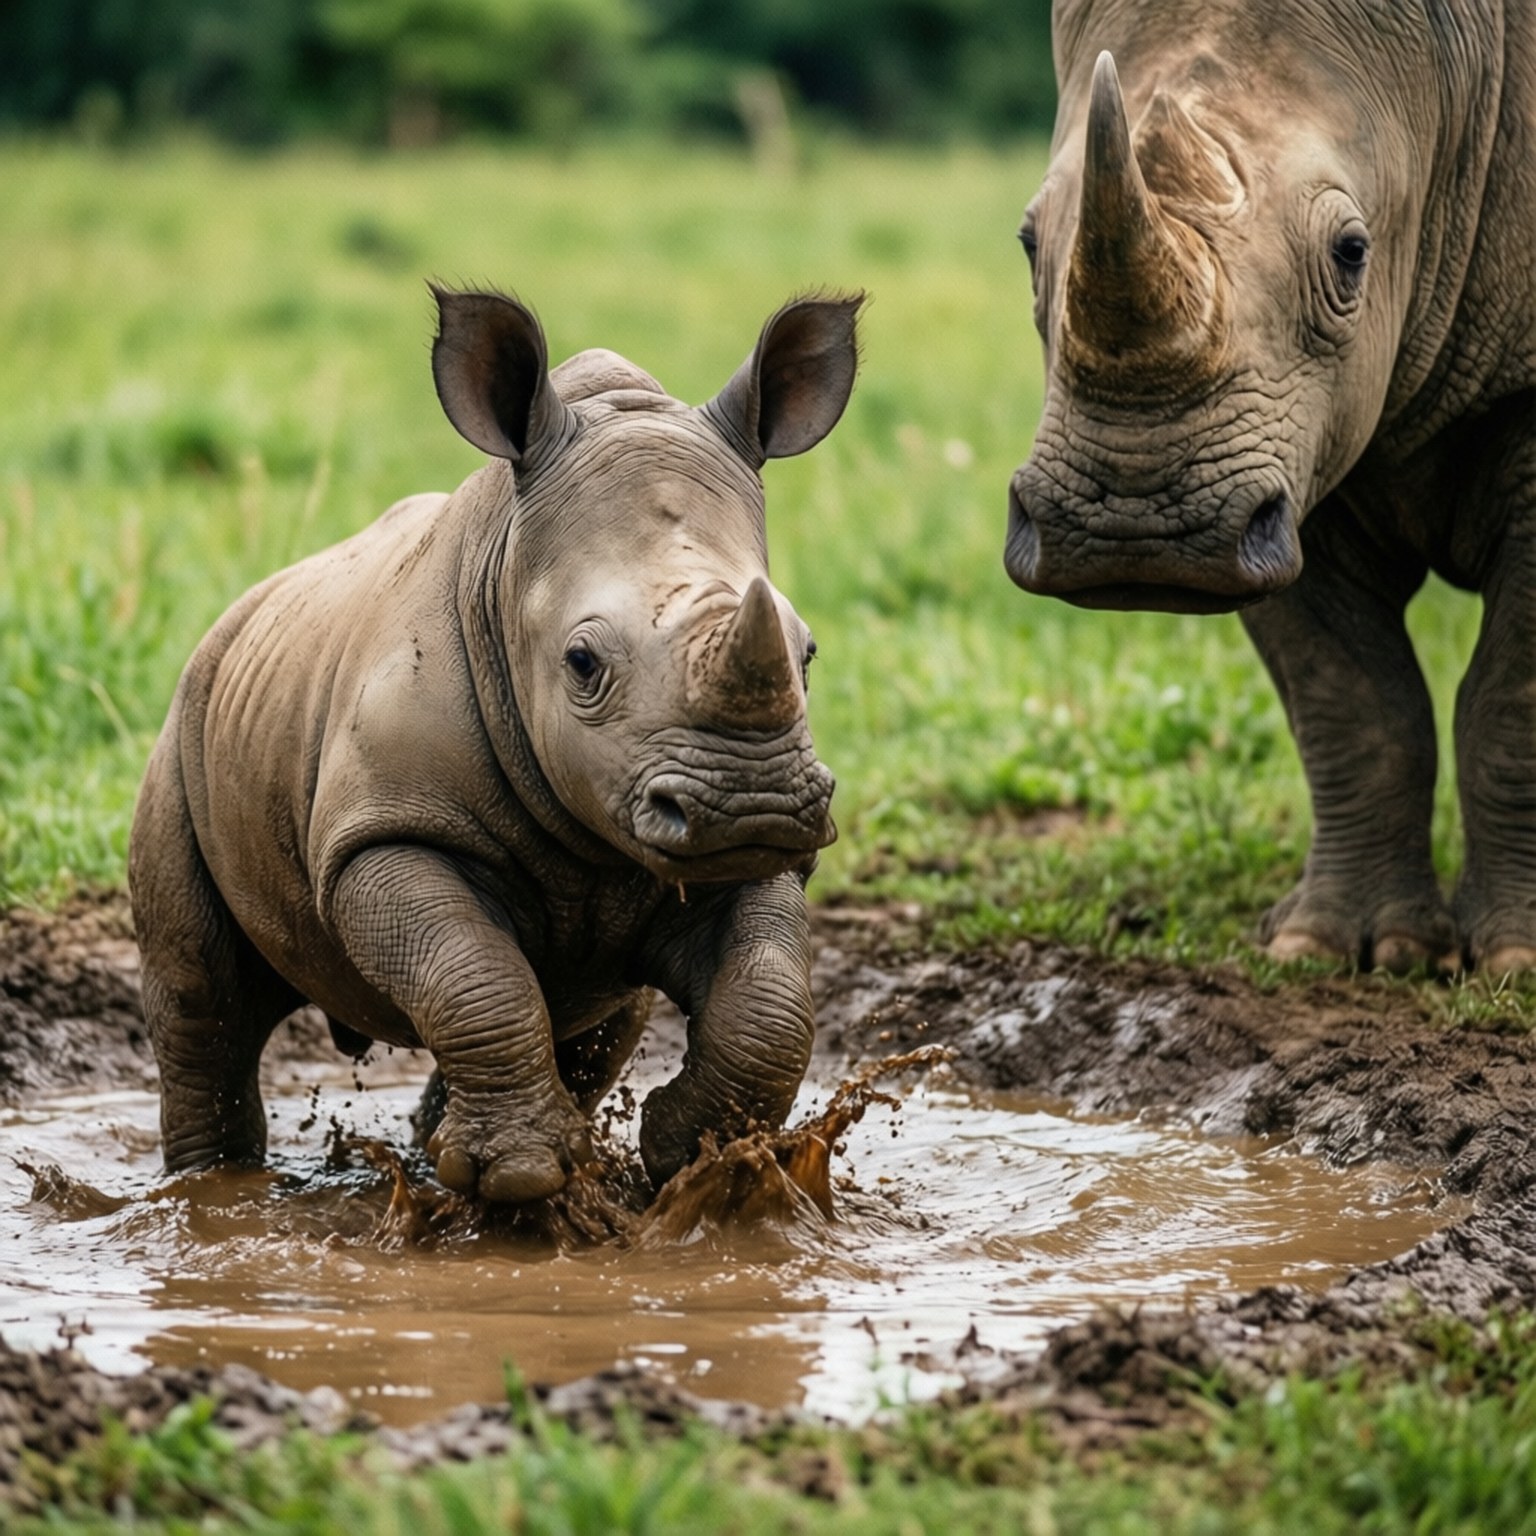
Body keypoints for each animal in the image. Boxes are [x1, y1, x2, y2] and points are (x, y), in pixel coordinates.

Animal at [129, 285, 861, 1202]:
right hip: (184, 727)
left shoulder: (745, 855)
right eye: (582, 663)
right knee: (202, 1000)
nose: (751, 804)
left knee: (595, 1017)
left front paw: (699, 1154)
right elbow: (471, 972)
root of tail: (240, 612)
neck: (507, 578)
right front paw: (518, 1177)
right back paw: (209, 1189)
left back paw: (435, 1142)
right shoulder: (384, 831)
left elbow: (768, 998)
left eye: (809, 652)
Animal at [1006, 3, 1536, 974]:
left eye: (1352, 253)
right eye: (1028, 246)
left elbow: (1512, 691)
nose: (1134, 529)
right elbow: (1348, 692)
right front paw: (1332, 947)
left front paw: (1516, 959)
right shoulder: (1270, 479)